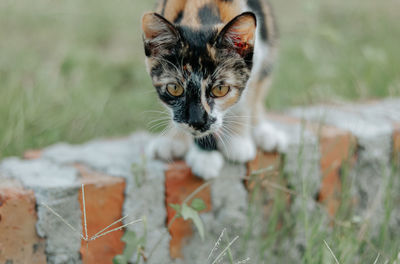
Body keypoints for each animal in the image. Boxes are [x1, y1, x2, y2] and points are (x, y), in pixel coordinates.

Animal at [142, 0, 286, 179]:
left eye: (220, 89)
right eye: (174, 88)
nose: (196, 122)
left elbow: (245, 98)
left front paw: (237, 141)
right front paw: (205, 156)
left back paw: (264, 132)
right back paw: (172, 141)